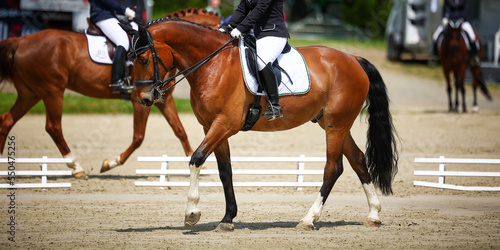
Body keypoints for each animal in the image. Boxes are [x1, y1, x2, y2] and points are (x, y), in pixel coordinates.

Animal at [0, 8, 219, 178]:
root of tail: (21, 40)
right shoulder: (141, 100)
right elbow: (138, 137)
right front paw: (110, 163)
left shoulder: (163, 100)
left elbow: (180, 131)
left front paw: (201, 165)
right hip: (52, 91)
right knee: (53, 127)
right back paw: (76, 167)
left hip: (30, 93)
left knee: (7, 120)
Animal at [121, 18, 398, 232]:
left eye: (143, 59)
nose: (144, 99)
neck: (212, 64)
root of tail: (353, 58)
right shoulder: (211, 127)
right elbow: (225, 171)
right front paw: (227, 219)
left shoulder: (225, 124)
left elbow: (196, 158)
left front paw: (192, 213)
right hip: (333, 124)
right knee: (358, 159)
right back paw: (373, 214)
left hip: (336, 126)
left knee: (333, 168)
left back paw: (308, 219)